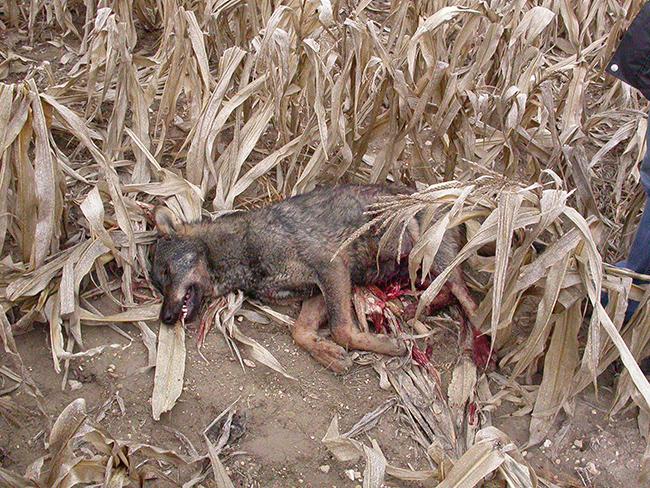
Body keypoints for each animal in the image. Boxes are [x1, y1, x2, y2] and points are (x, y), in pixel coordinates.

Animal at [152, 185, 476, 372]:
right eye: (158, 284)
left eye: (167, 273)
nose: (164, 318)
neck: (241, 253)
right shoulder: (316, 289)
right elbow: (300, 332)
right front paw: (327, 354)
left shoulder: (331, 268)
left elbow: (342, 330)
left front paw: (384, 346)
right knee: (444, 292)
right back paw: (414, 309)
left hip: (433, 257)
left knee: (467, 299)